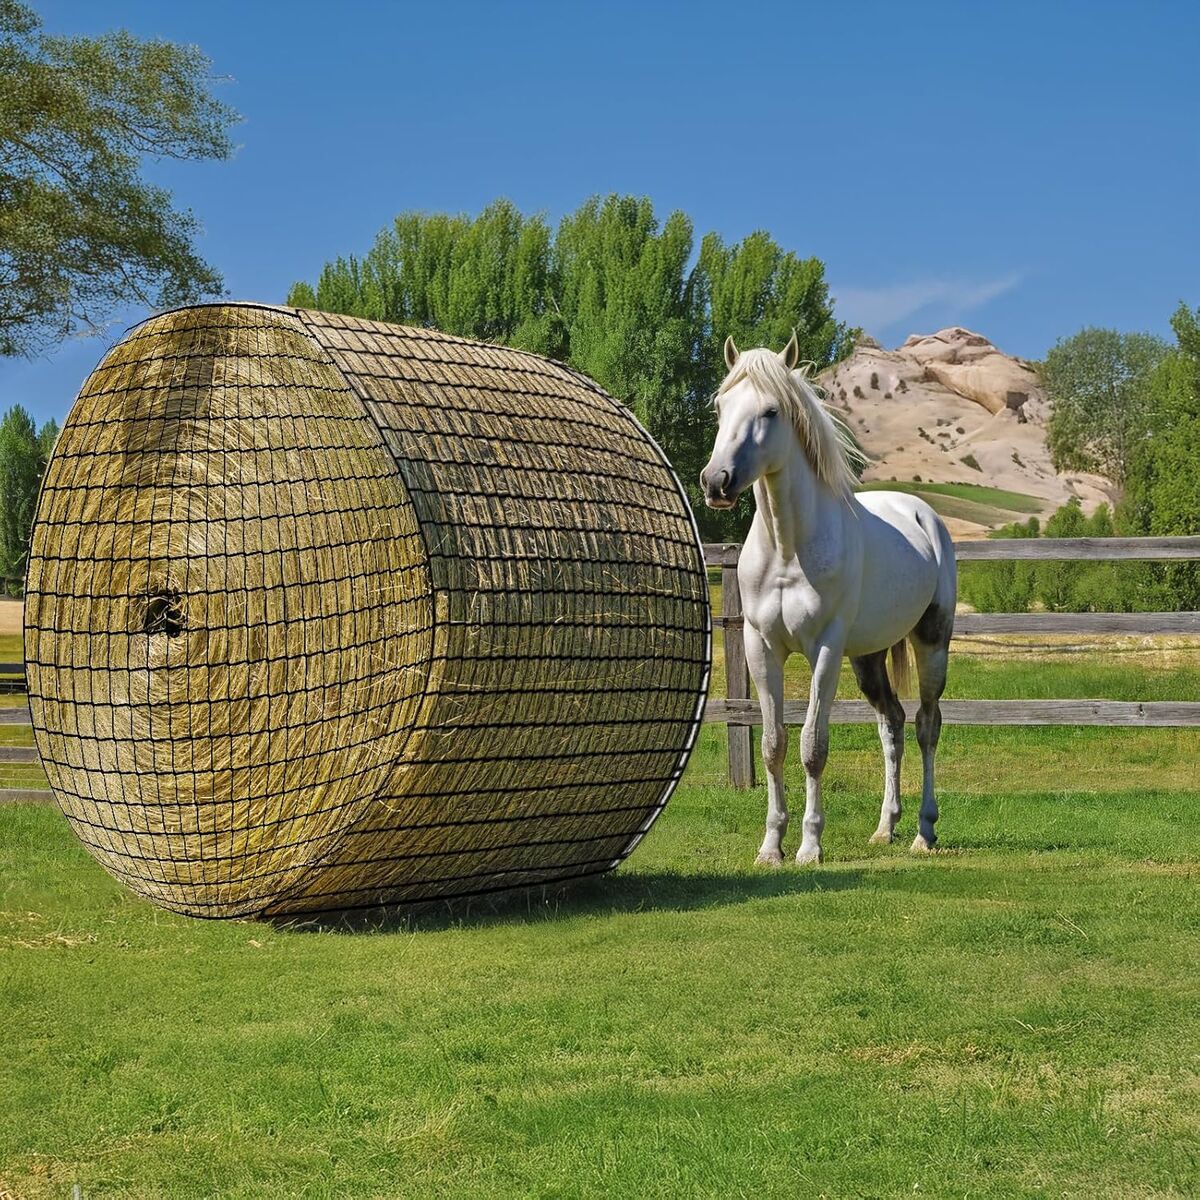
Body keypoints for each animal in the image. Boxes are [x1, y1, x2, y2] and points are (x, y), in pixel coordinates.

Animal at [699, 332, 957, 865]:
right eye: (720, 406)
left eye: (771, 411)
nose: (716, 482)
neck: (788, 548)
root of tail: (923, 515)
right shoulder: (761, 648)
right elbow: (773, 744)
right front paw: (770, 847)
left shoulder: (824, 650)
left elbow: (813, 746)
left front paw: (810, 846)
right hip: (868, 658)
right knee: (892, 725)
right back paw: (885, 828)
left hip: (932, 643)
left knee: (926, 725)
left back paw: (924, 831)